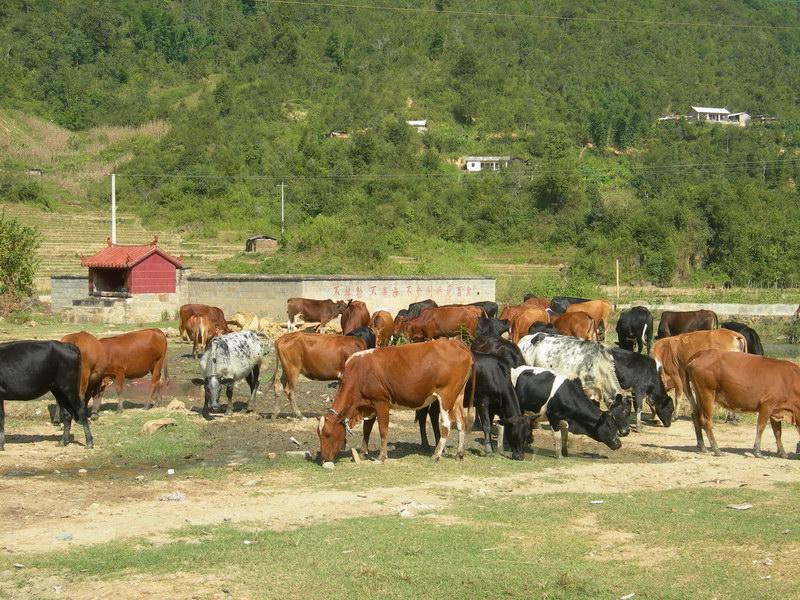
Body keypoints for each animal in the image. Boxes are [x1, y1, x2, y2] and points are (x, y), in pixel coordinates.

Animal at [316, 338, 472, 464]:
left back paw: (436, 455)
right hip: (458, 396)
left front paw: (381, 456)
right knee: (461, 423)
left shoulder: (381, 402)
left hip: (446, 397)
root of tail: (455, 343)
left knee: (446, 425)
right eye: (319, 435)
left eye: (328, 434)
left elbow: (382, 429)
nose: (323, 459)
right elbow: (367, 429)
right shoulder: (369, 405)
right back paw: (459, 453)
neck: (359, 373)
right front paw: (362, 453)